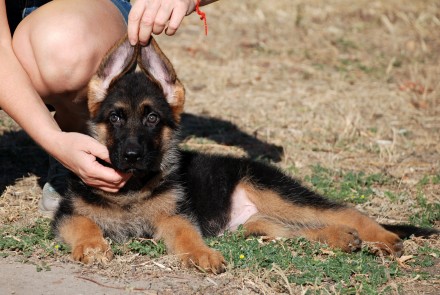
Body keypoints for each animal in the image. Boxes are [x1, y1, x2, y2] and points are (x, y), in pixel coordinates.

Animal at [51, 37, 436, 276]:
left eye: (152, 119)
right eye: (115, 117)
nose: (131, 155)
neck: (132, 188)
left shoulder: (176, 217)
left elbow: (187, 237)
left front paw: (201, 255)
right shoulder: (67, 215)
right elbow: (85, 223)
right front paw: (92, 246)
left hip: (275, 192)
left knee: (344, 211)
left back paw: (383, 239)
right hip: (259, 224)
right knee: (296, 229)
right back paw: (341, 239)